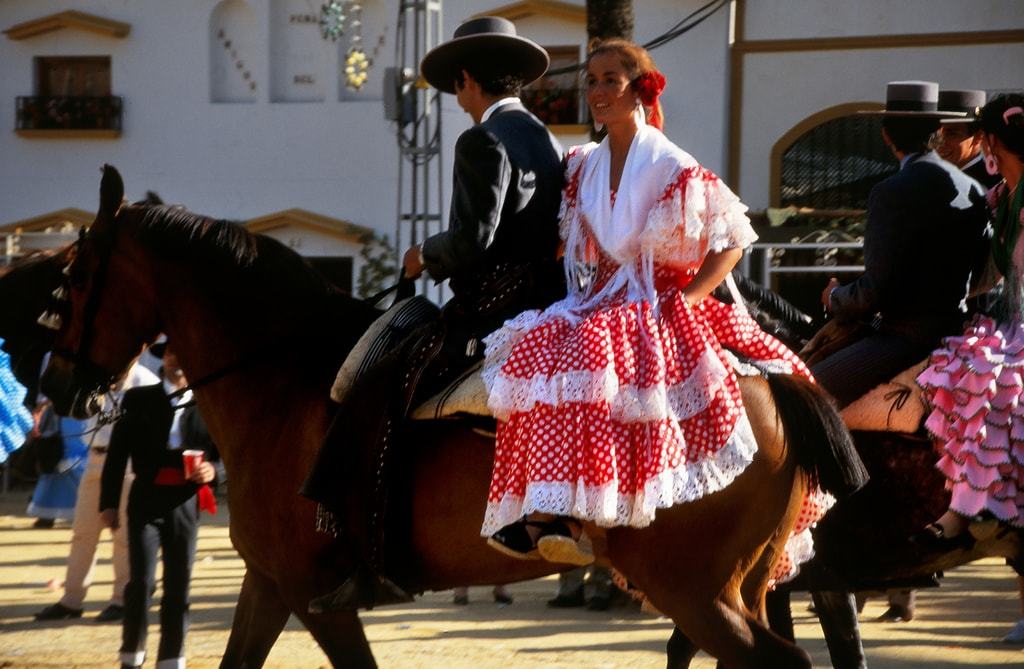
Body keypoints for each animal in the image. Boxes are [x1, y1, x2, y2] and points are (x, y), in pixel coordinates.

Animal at [37, 163, 864, 663]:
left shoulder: (315, 594)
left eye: (71, 277)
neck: (280, 376)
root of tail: (776, 379)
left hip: (693, 588)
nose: (55, 385)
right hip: (739, 585)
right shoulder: (269, 584)